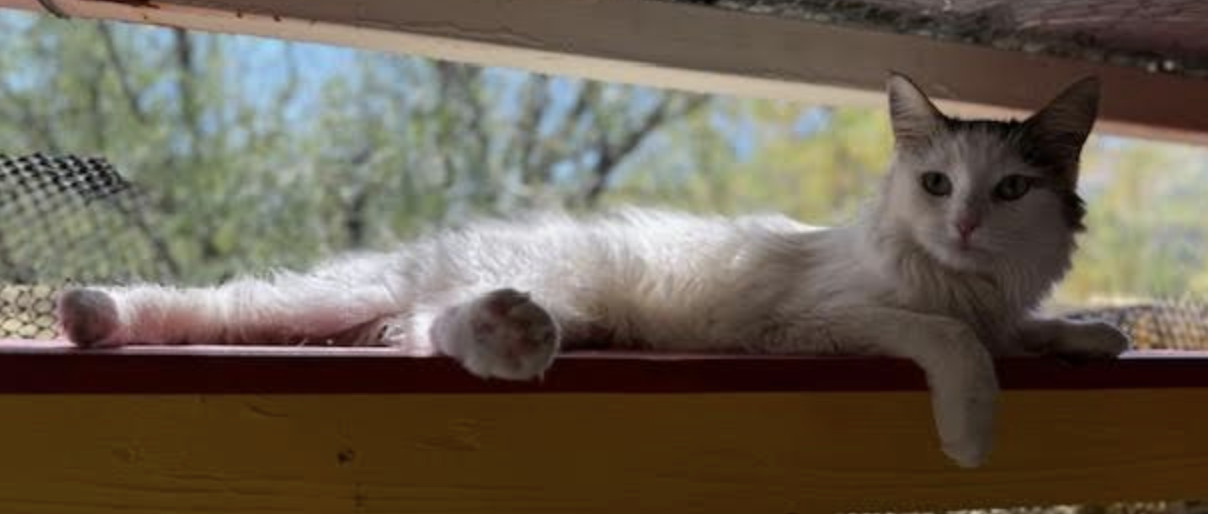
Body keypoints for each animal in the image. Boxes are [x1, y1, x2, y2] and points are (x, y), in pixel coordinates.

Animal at [56, 73, 1130, 469]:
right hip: (516, 293)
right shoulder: (827, 319)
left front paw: (1091, 335)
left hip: (462, 305)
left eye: (1010, 191)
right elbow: (956, 345)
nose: (962, 222)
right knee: (283, 312)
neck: (962, 278)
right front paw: (972, 435)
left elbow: (1024, 330)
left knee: (412, 331)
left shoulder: (998, 306)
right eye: (938, 181)